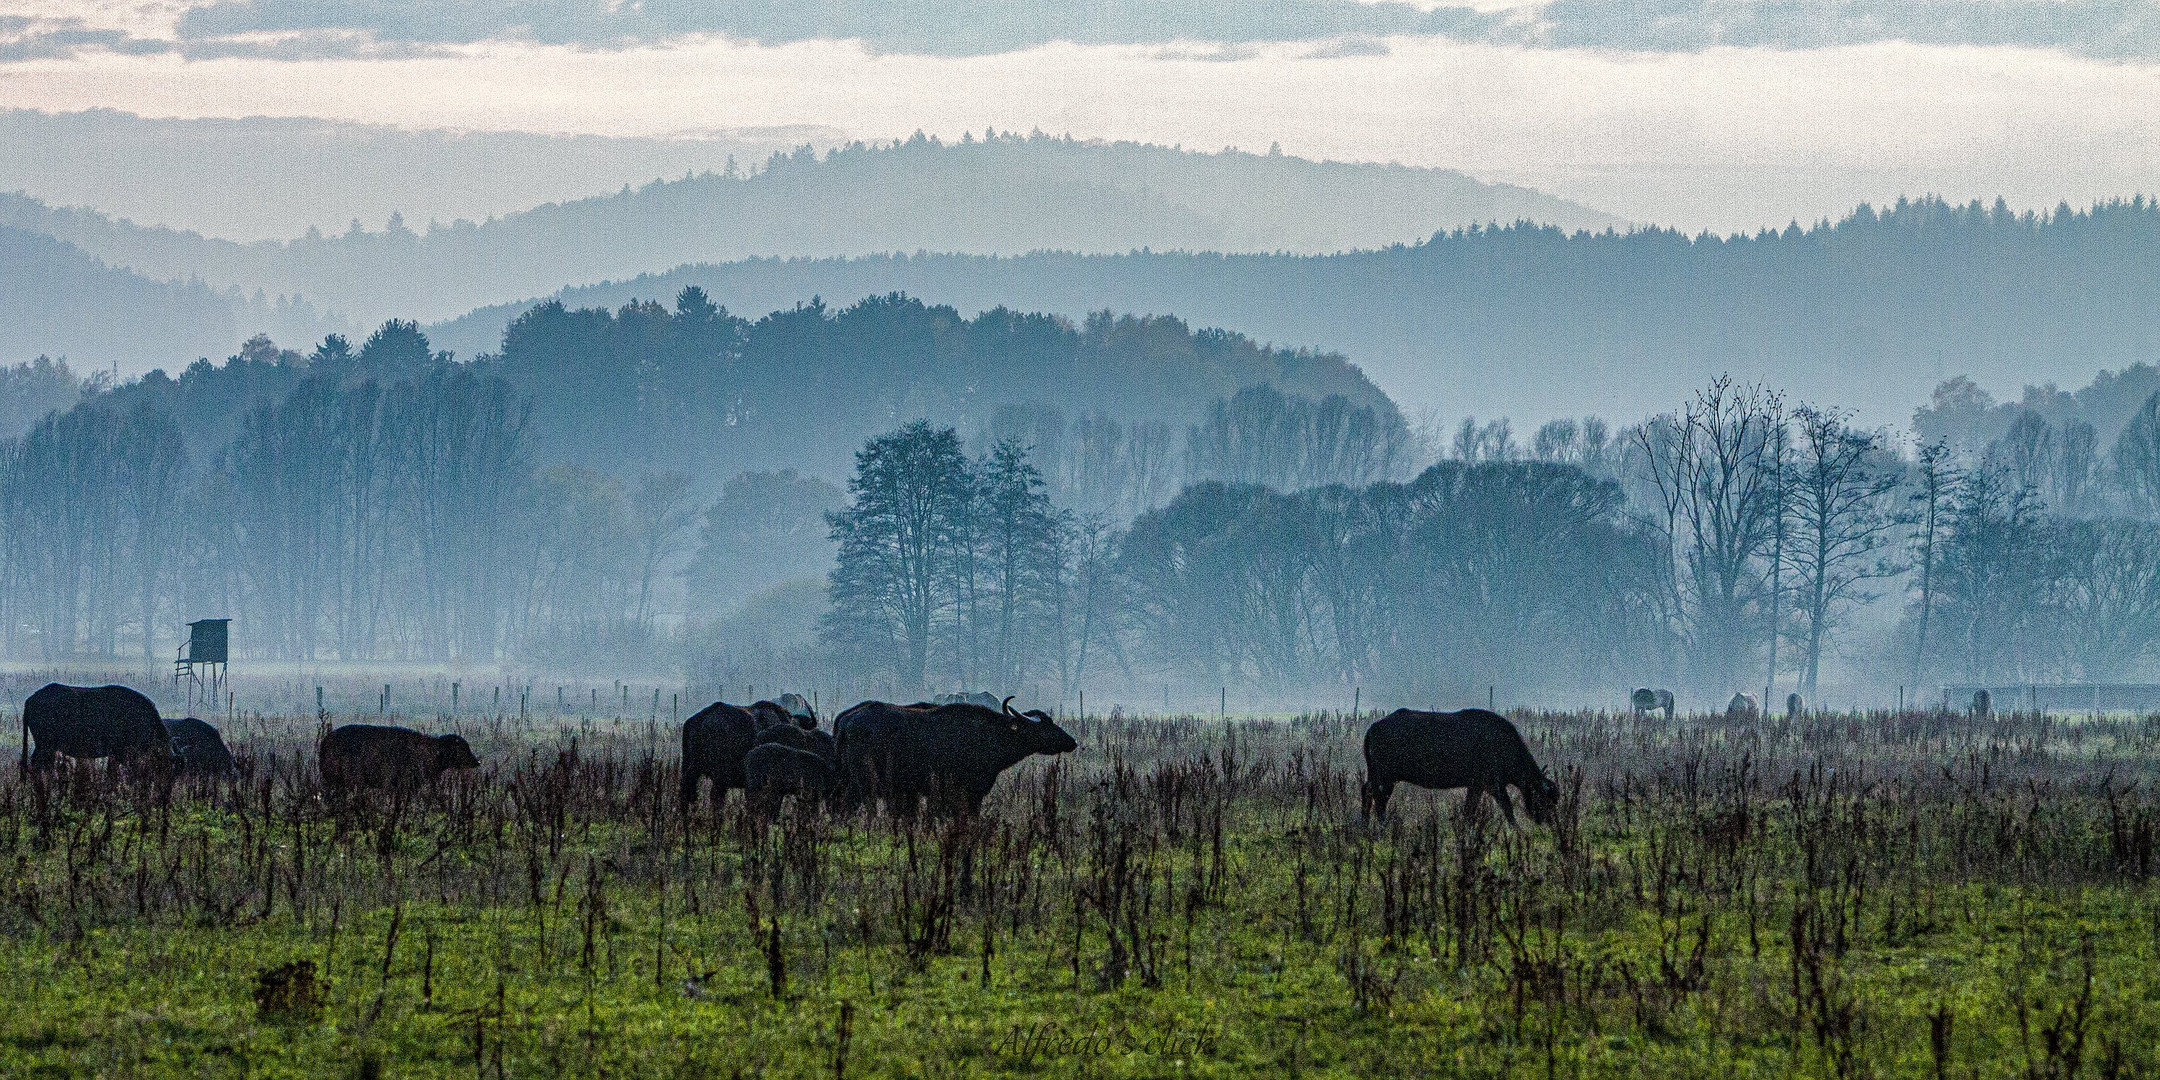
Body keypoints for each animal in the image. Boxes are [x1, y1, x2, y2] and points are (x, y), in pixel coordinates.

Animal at [838, 695, 1080, 812]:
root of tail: (848, 721)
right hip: (864, 784)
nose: (1072, 741)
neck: (991, 734)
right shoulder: (968, 792)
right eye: (1045, 725)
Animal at [1356, 708, 1563, 825]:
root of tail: (1373, 728)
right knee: (1379, 799)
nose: (1549, 822)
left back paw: (1365, 825)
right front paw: (1516, 828)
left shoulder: (1476, 787)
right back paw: (1381, 826)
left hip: (1376, 776)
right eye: (1545, 799)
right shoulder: (1493, 785)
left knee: (1367, 791)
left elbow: (1469, 811)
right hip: (1385, 779)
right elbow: (1507, 808)